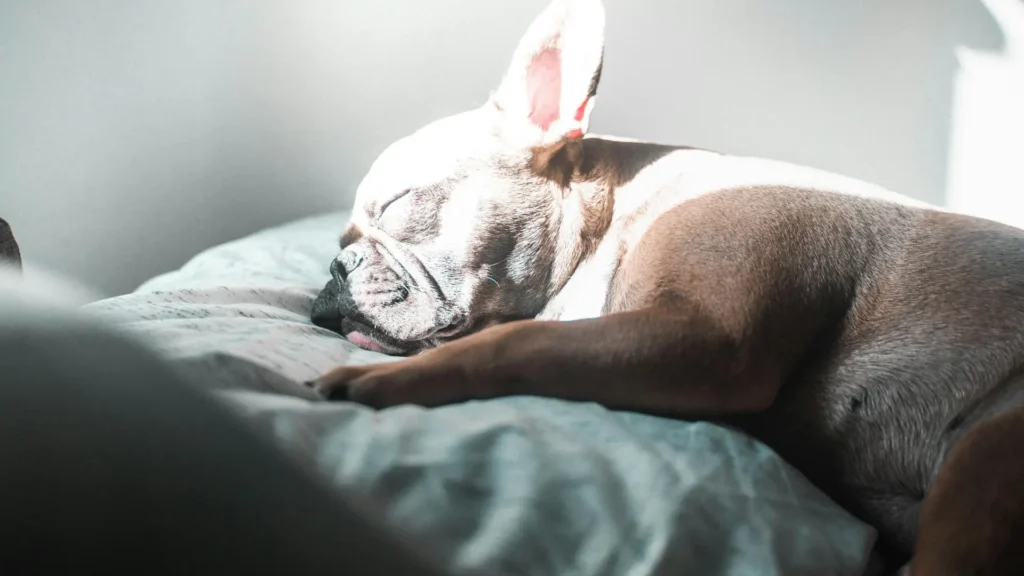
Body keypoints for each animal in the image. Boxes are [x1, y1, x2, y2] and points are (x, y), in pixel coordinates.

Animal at [309, 0, 1024, 569]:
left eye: (398, 203)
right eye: (340, 240)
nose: (336, 270)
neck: (612, 214)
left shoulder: (710, 340)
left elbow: (509, 343)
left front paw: (388, 382)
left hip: (988, 451)